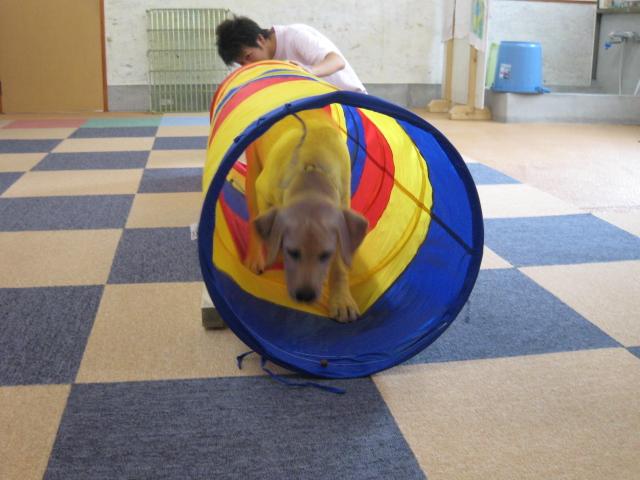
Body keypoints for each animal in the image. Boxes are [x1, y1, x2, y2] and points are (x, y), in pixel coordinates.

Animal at [243, 108, 368, 322]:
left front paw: (342, 300)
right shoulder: (264, 192)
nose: (305, 296)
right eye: (293, 252)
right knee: (253, 215)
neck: (311, 170)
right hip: (253, 174)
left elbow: (340, 265)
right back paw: (255, 258)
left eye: (325, 255)